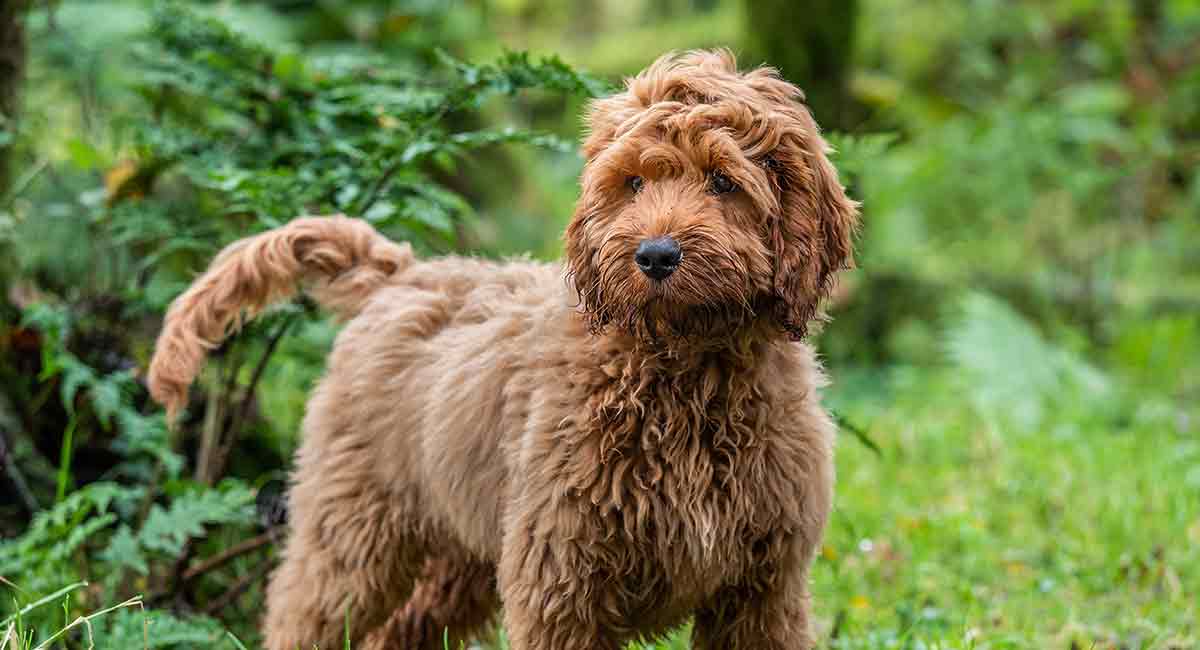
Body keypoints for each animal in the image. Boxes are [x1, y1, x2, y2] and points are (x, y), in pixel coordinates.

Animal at [150, 49, 859, 650]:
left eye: (722, 181)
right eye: (632, 183)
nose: (655, 256)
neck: (685, 371)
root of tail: (402, 272)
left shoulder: (762, 593)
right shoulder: (561, 579)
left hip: (460, 554)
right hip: (352, 529)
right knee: (303, 613)